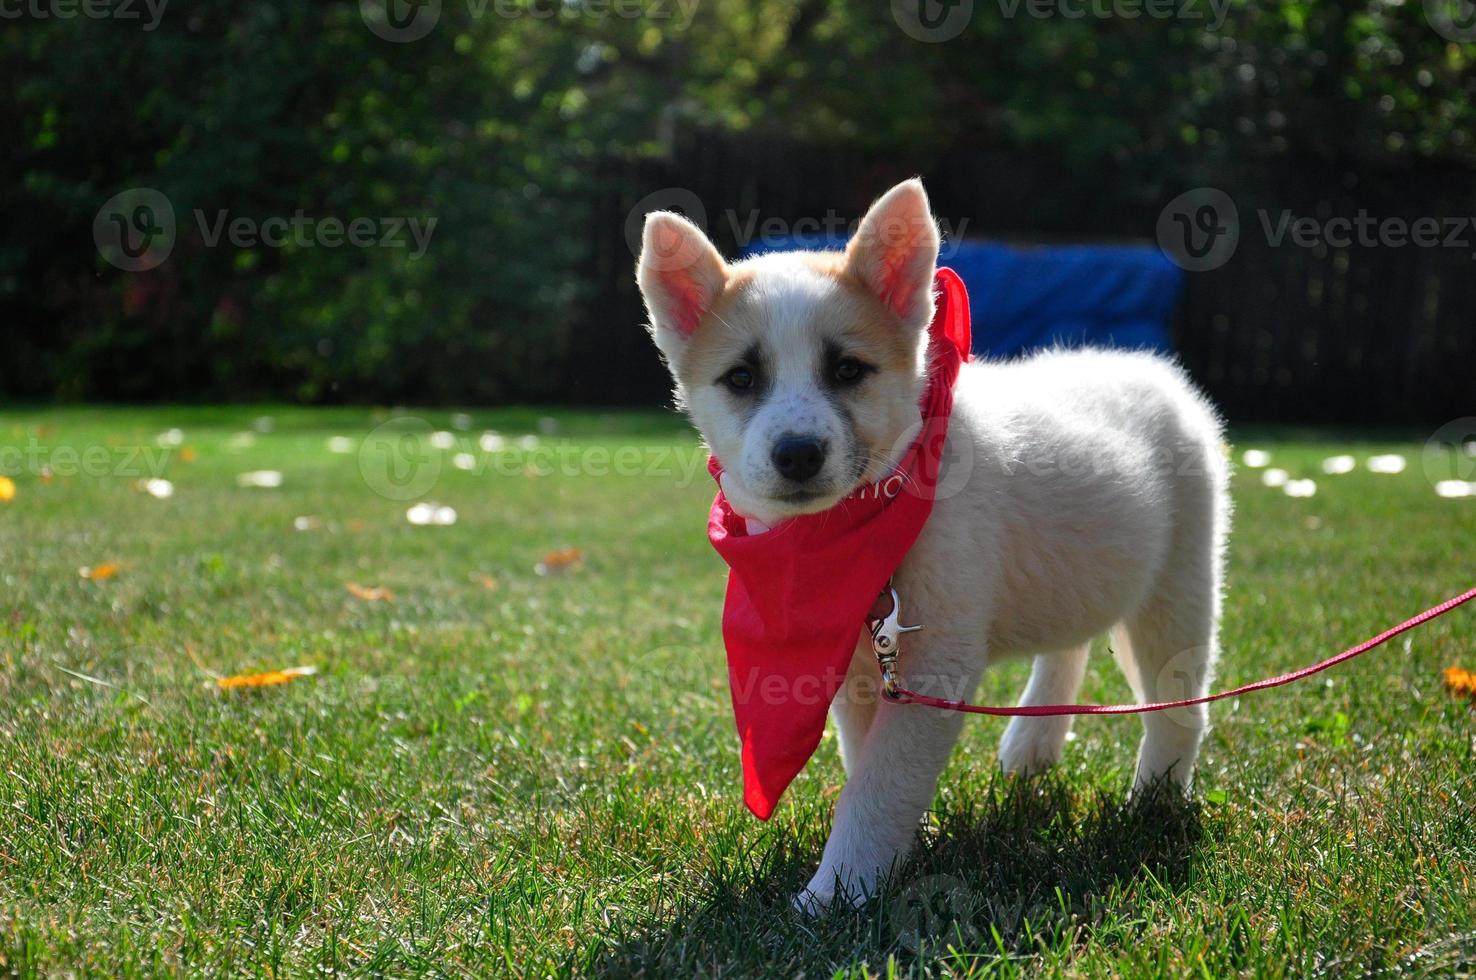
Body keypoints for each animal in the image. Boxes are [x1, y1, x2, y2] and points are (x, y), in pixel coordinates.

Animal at [640, 177, 1228, 909]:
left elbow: (880, 784)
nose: (798, 454)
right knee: (1069, 644)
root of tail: (1158, 375)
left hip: (1178, 589)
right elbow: (866, 765)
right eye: (741, 379)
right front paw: (892, 857)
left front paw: (836, 893)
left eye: (847, 370)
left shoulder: (934, 665)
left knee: (1179, 707)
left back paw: (1154, 803)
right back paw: (1032, 746)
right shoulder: (861, 669)